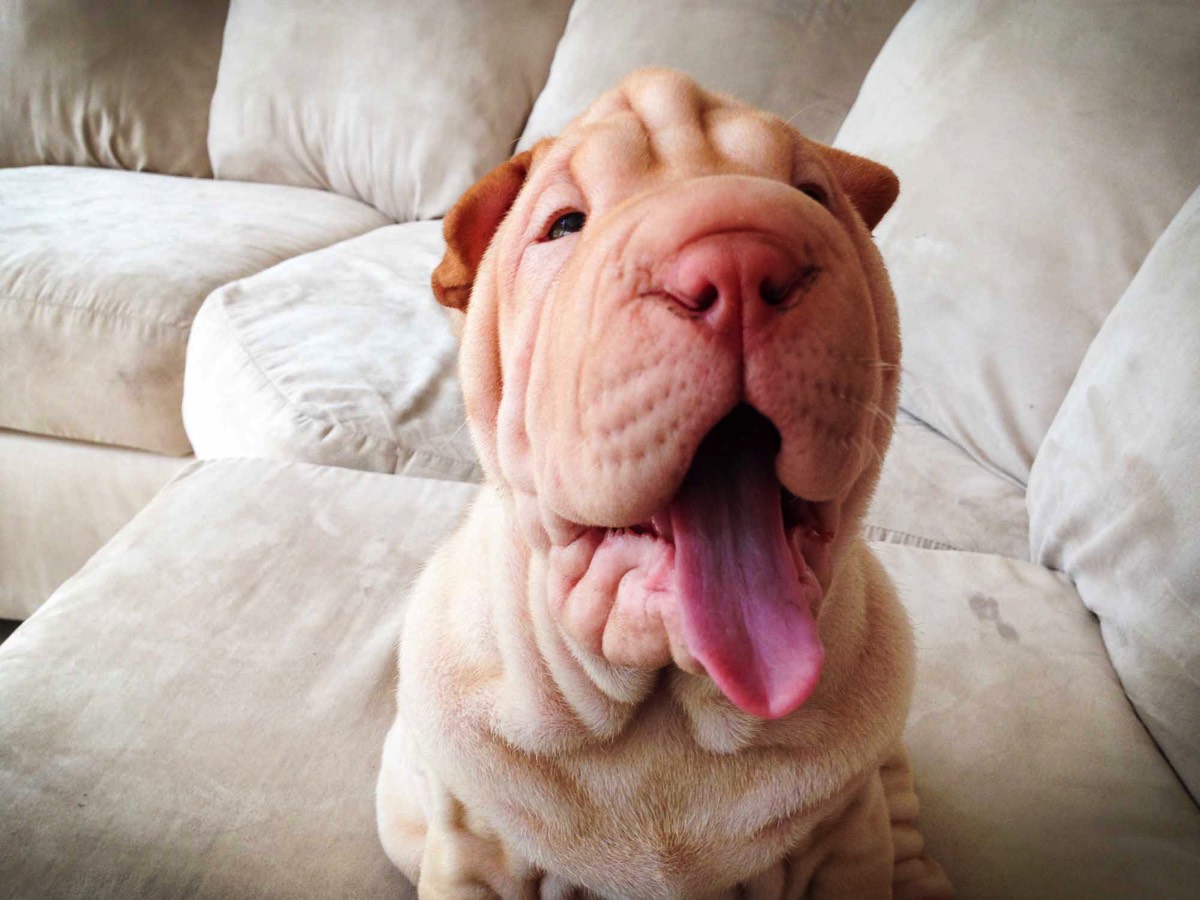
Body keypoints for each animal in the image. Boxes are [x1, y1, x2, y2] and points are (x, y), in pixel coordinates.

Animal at [376, 68, 952, 899]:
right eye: (564, 224)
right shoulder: (472, 855)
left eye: (814, 196)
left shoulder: (850, 841)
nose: (740, 260)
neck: (670, 709)